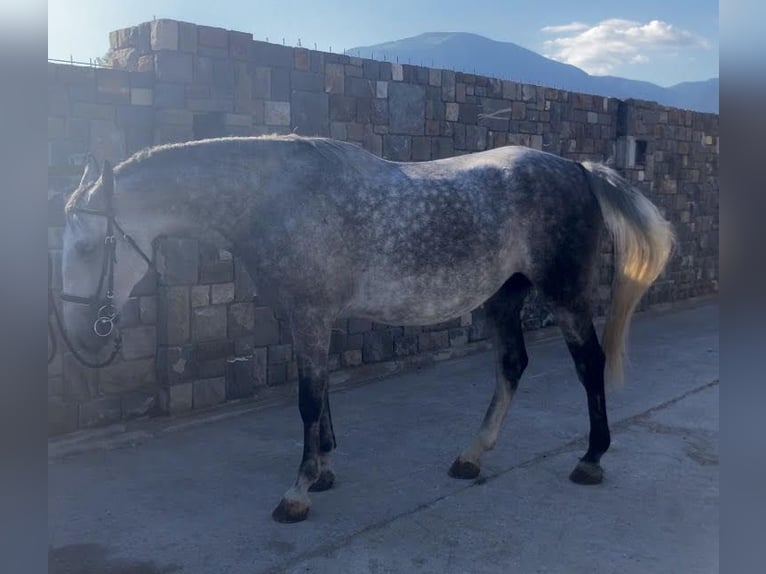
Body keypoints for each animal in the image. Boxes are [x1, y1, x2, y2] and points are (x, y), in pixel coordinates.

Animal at [57, 136, 676, 528]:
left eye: (87, 247)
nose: (82, 338)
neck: (278, 200)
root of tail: (579, 170)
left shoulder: (310, 315)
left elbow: (308, 399)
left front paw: (299, 491)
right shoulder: (309, 317)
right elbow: (321, 391)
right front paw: (325, 471)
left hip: (565, 296)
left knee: (588, 364)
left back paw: (591, 458)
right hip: (504, 296)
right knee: (512, 366)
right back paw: (472, 455)